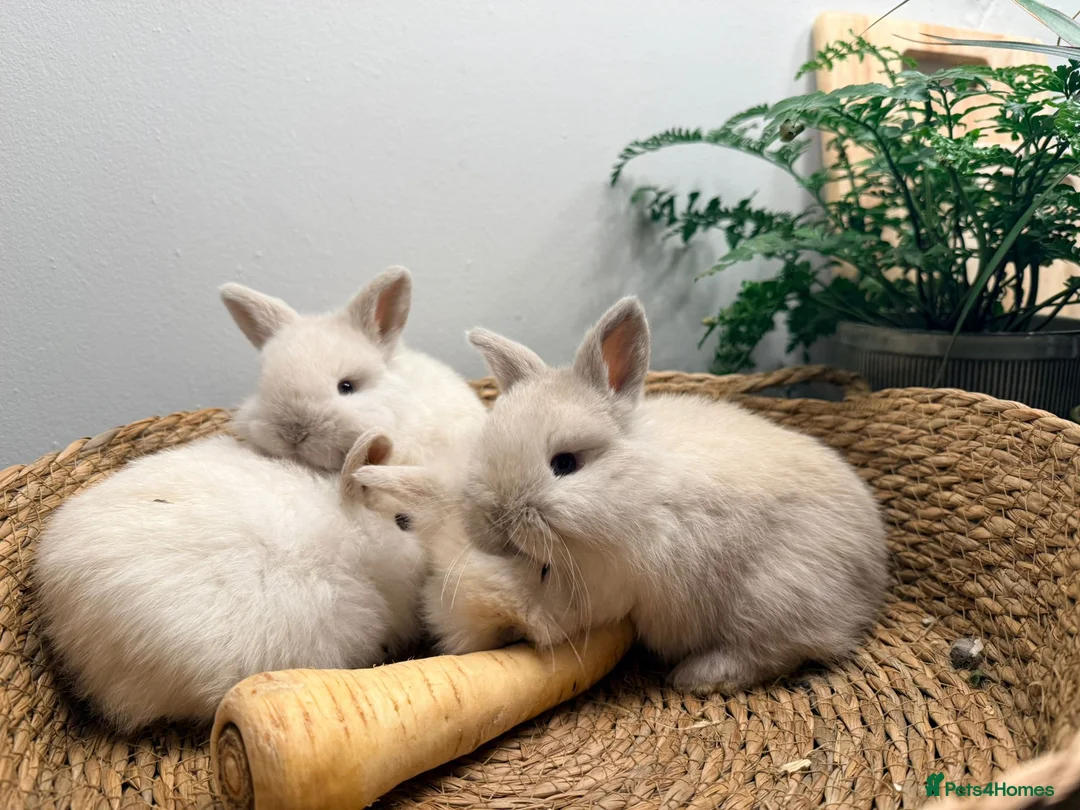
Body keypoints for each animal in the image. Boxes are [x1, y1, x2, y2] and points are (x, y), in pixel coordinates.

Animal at [421, 296, 890, 694]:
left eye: (566, 463)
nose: (494, 517)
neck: (639, 489)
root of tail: (874, 576)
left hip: (774, 597)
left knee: (778, 649)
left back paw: (697, 677)